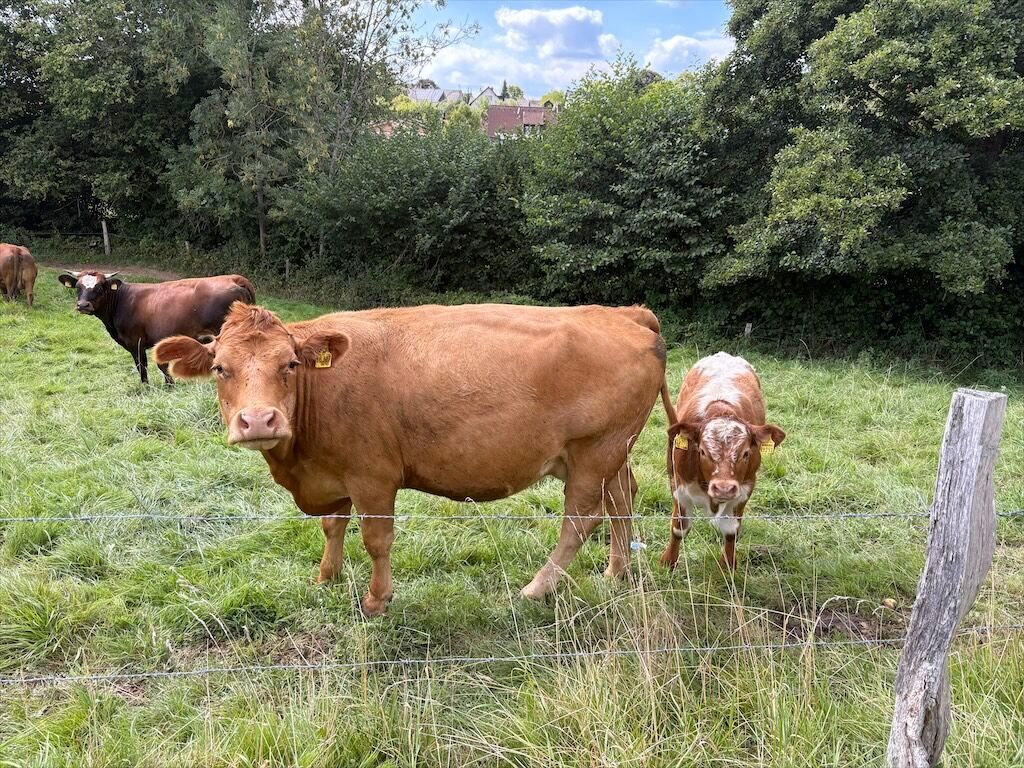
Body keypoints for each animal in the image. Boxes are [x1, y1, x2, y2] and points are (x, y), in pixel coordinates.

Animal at [57, 271, 256, 385]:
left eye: (100, 287)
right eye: (77, 287)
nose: (83, 305)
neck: (121, 300)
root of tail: (234, 278)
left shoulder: (135, 342)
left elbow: (142, 366)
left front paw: (145, 387)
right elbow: (163, 366)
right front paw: (169, 385)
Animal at [155, 302, 677, 616]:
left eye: (291, 364)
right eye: (220, 368)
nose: (259, 420)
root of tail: (625, 313)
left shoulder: (373, 476)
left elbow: (376, 540)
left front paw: (376, 600)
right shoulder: (335, 476)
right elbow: (333, 526)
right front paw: (326, 577)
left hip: (595, 450)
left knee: (582, 519)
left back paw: (536, 589)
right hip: (612, 453)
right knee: (623, 499)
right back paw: (615, 573)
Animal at [659, 352, 785, 572]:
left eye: (746, 453)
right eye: (702, 451)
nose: (723, 488)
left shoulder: (745, 488)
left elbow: (731, 531)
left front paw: (728, 564)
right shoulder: (678, 485)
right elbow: (679, 527)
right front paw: (669, 561)